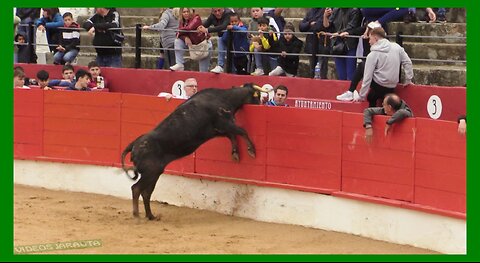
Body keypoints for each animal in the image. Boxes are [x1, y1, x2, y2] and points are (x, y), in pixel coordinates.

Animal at [120, 84, 268, 221]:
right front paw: (251, 150)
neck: (224, 97)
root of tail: (134, 145)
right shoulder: (225, 123)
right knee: (136, 189)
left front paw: (235, 154)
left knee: (146, 193)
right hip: (151, 172)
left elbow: (232, 136)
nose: (261, 104)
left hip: (154, 173)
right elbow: (242, 131)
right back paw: (137, 215)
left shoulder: (219, 130)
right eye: (258, 97)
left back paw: (151, 216)